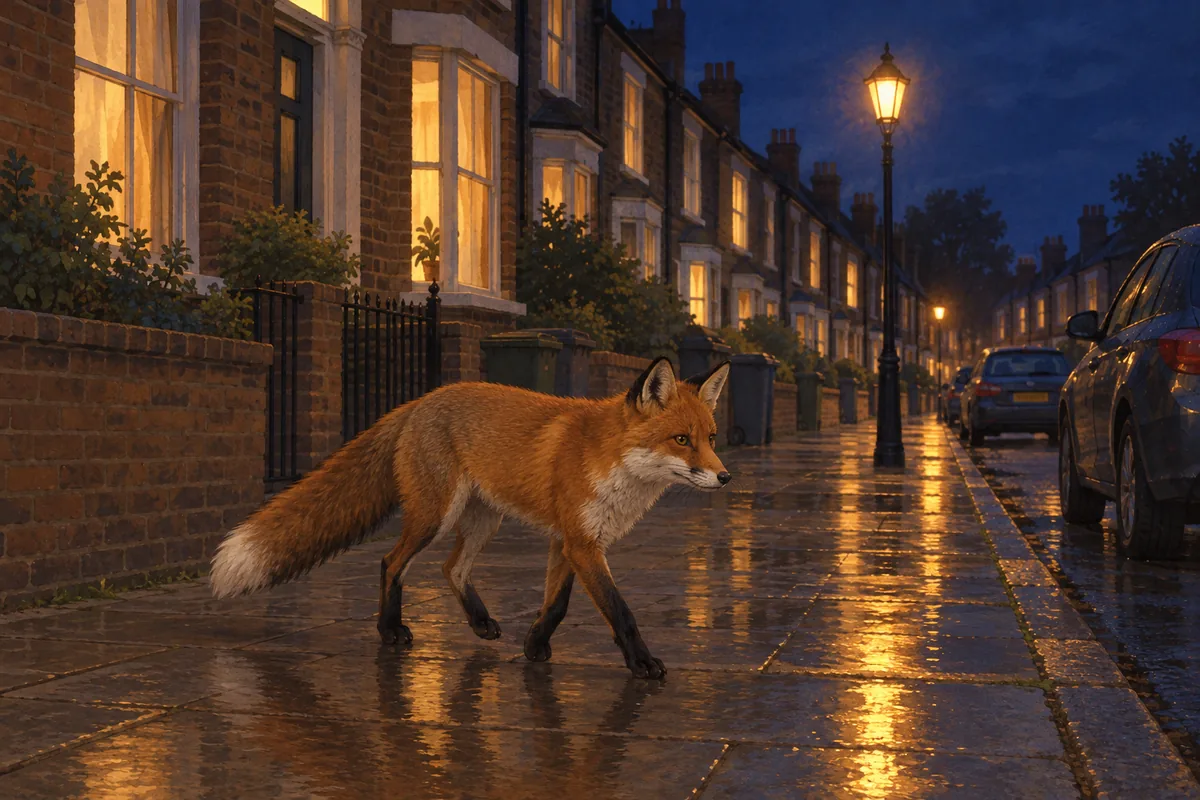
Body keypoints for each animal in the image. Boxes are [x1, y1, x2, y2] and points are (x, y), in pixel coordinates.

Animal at [208, 357, 732, 679]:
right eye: (681, 440)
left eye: (711, 437)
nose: (725, 477)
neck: (611, 459)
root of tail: (418, 402)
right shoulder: (582, 543)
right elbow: (620, 611)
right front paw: (642, 665)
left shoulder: (570, 540)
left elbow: (556, 606)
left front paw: (534, 646)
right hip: (435, 516)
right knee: (391, 562)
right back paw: (389, 631)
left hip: (483, 521)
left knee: (451, 568)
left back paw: (479, 623)